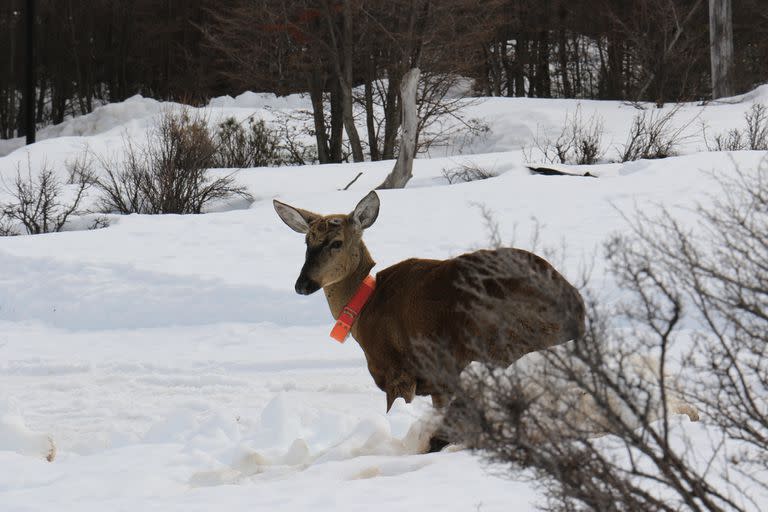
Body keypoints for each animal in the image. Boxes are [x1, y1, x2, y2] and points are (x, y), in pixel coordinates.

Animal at [272, 190, 584, 414]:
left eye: (336, 242)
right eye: (307, 243)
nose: (302, 285)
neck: (365, 307)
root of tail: (577, 305)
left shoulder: (399, 370)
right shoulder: (437, 384)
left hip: (504, 341)